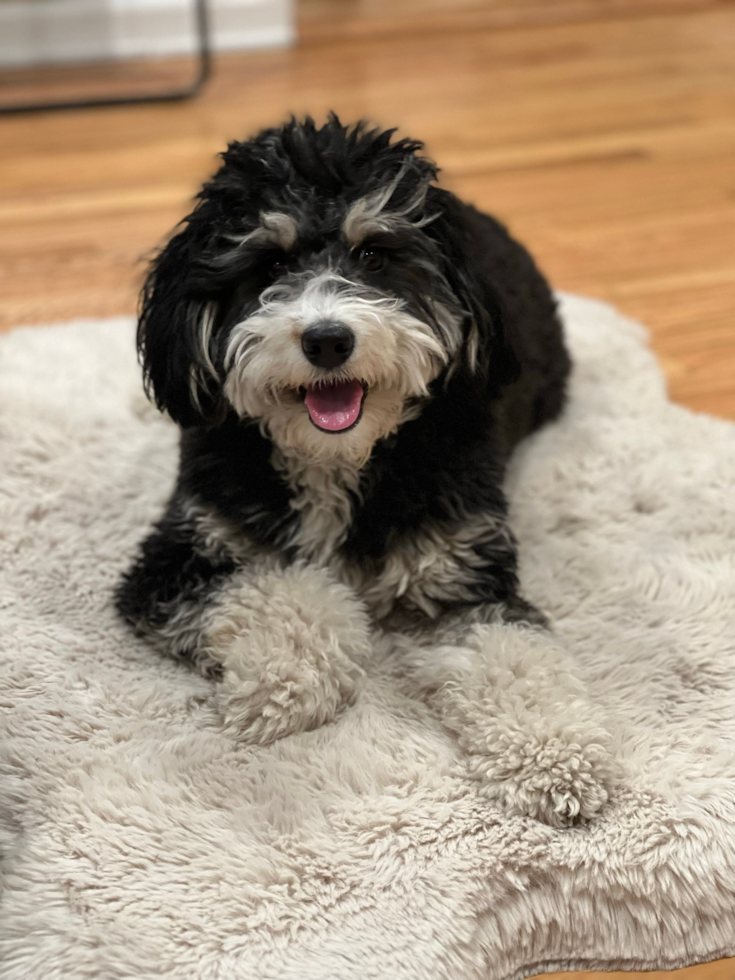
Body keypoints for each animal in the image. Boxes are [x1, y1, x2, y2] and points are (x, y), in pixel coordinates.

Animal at [118, 115, 616, 828]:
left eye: (375, 254)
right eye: (272, 262)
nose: (328, 339)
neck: (336, 463)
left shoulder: (466, 573)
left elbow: (517, 656)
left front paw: (559, 756)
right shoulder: (176, 557)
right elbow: (278, 588)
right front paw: (288, 682)